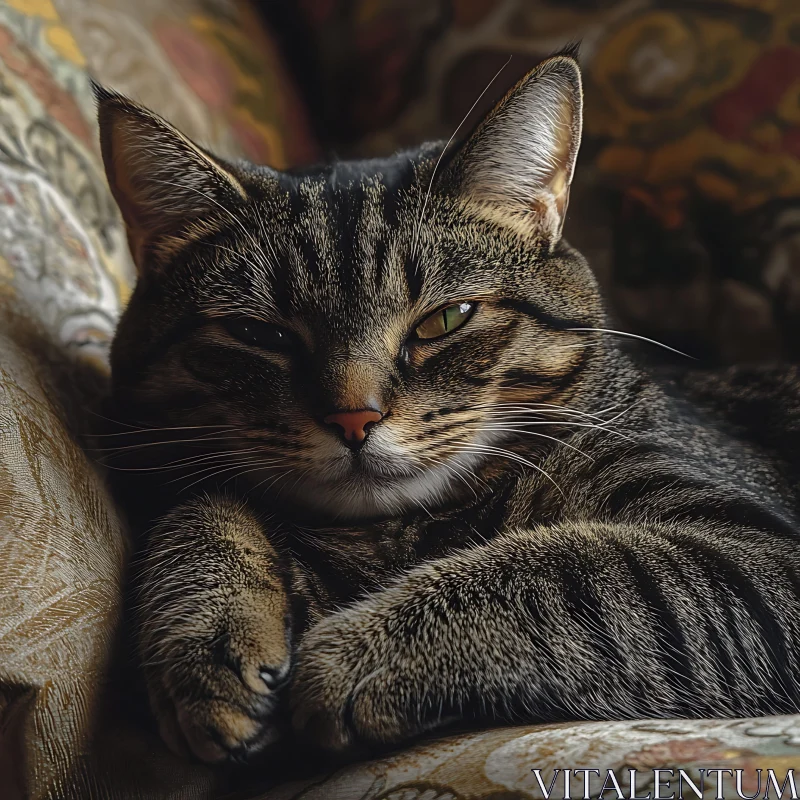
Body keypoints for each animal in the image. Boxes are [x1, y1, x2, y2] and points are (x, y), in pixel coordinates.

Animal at [95, 53, 800, 764]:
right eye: (259, 334)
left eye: (445, 319)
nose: (354, 418)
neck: (396, 533)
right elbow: (202, 509)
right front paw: (207, 643)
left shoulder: (760, 555)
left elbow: (571, 569)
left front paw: (354, 657)